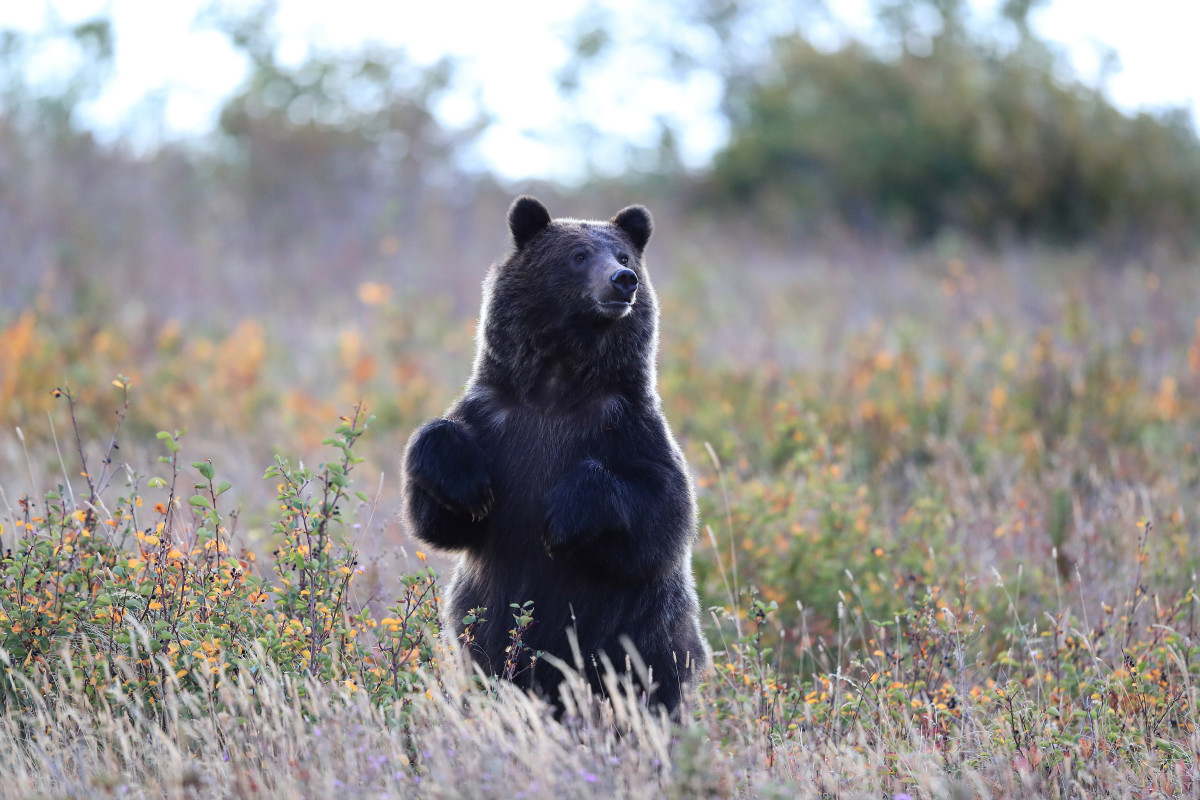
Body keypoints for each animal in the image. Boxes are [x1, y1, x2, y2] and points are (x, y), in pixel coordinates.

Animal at [401, 196, 709, 715]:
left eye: (623, 255)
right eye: (578, 256)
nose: (623, 280)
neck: (558, 384)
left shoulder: (628, 425)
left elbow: (662, 516)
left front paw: (563, 519)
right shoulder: (496, 419)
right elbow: (437, 516)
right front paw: (468, 486)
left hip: (645, 638)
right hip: (486, 636)